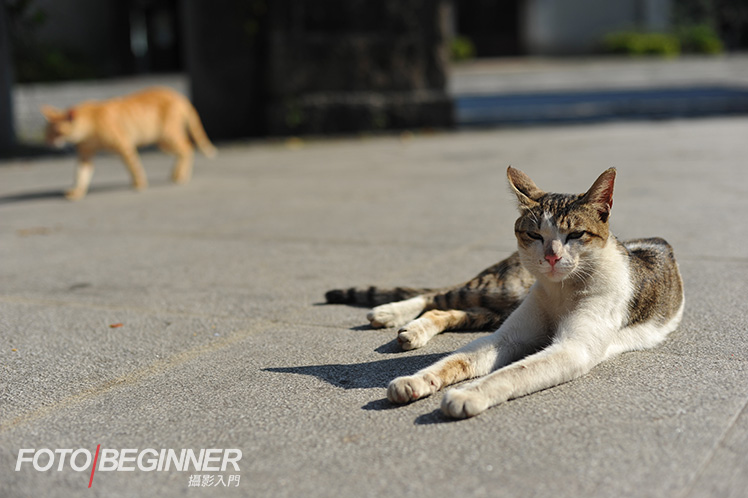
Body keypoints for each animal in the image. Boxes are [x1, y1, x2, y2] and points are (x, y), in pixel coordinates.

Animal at [40, 86, 215, 200]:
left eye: (56, 132)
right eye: (46, 133)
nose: (47, 143)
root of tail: (179, 96)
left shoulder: (124, 145)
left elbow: (133, 166)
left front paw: (139, 184)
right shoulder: (85, 154)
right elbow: (80, 174)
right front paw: (77, 191)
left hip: (167, 135)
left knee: (187, 147)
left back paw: (180, 176)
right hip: (163, 142)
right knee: (184, 149)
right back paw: (177, 174)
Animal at [328, 168, 684, 420]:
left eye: (575, 234)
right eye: (534, 235)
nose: (551, 257)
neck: (561, 289)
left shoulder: (572, 349)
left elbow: (514, 371)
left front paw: (467, 395)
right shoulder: (505, 338)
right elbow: (456, 359)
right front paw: (418, 380)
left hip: (497, 303)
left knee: (449, 310)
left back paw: (412, 329)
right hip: (502, 289)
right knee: (439, 297)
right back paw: (392, 313)